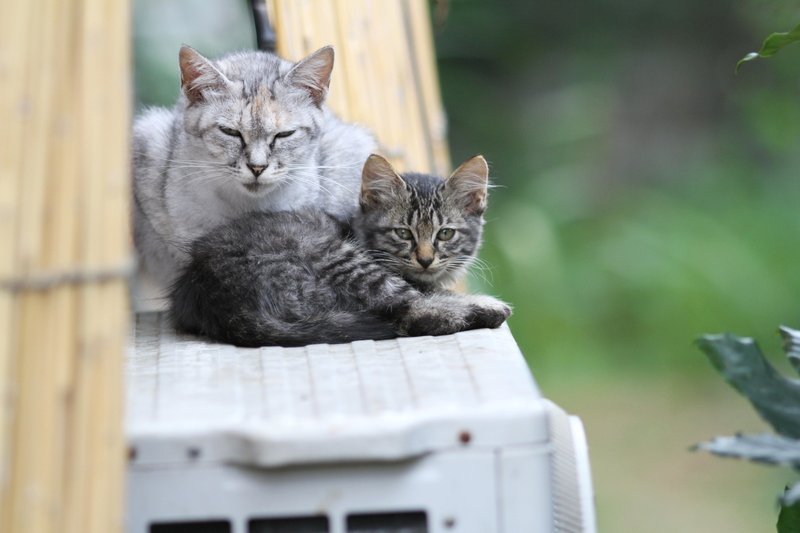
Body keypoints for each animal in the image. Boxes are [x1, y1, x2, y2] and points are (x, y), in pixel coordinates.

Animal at [170, 154, 512, 344]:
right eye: (403, 233)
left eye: (445, 233)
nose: (426, 260)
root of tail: (221, 302)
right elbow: (431, 293)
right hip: (338, 256)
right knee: (411, 312)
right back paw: (485, 310)